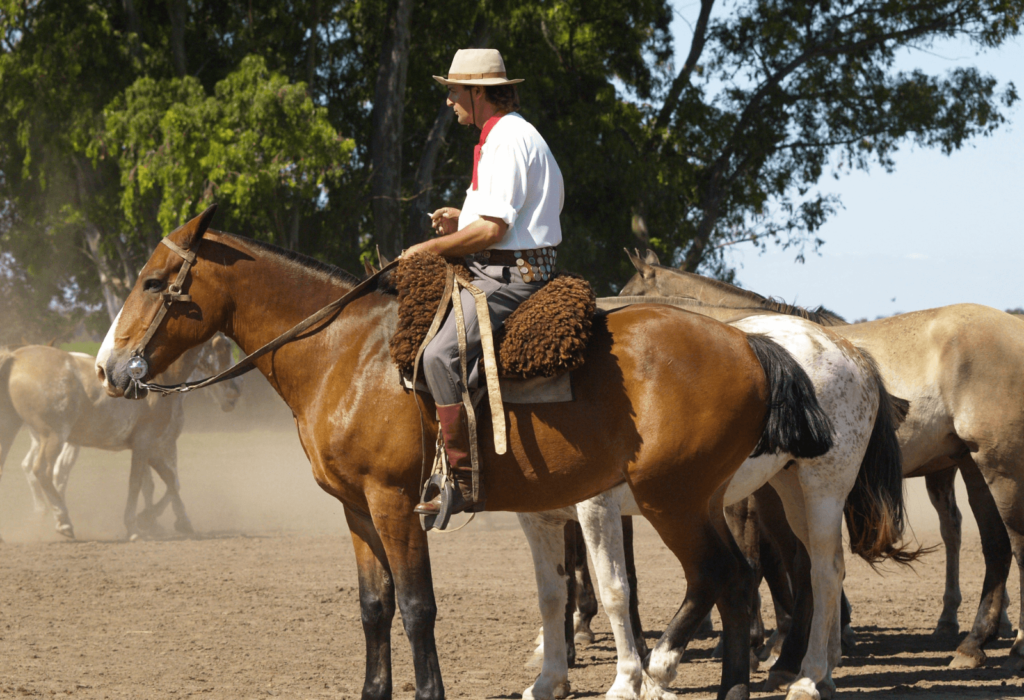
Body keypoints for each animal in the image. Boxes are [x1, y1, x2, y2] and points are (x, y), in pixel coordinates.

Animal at [94, 207, 831, 700]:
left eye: (155, 282)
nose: (108, 368)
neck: (348, 354)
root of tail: (749, 343)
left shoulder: (395, 503)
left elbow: (418, 607)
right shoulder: (356, 510)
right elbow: (375, 606)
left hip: (672, 499)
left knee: (728, 578)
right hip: (701, 499)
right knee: (738, 581)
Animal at [618, 251, 1024, 671]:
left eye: (629, 291)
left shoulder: (747, 497)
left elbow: (764, 559)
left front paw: (765, 641)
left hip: (998, 466)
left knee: (1009, 539)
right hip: (971, 465)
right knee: (993, 543)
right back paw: (973, 641)